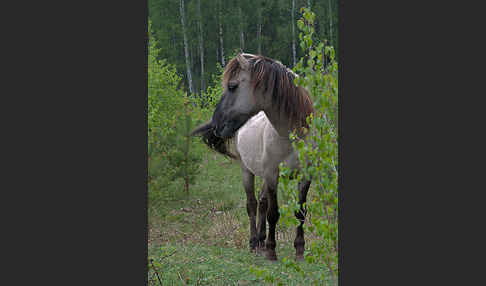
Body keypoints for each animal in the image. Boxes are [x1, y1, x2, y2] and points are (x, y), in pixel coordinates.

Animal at [192, 52, 314, 260]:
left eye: (232, 86)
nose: (216, 124)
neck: (292, 135)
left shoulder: (304, 176)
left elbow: (300, 212)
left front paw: (299, 249)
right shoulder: (272, 175)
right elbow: (273, 213)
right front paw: (272, 251)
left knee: (262, 202)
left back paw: (261, 239)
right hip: (246, 170)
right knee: (252, 204)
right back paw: (253, 242)